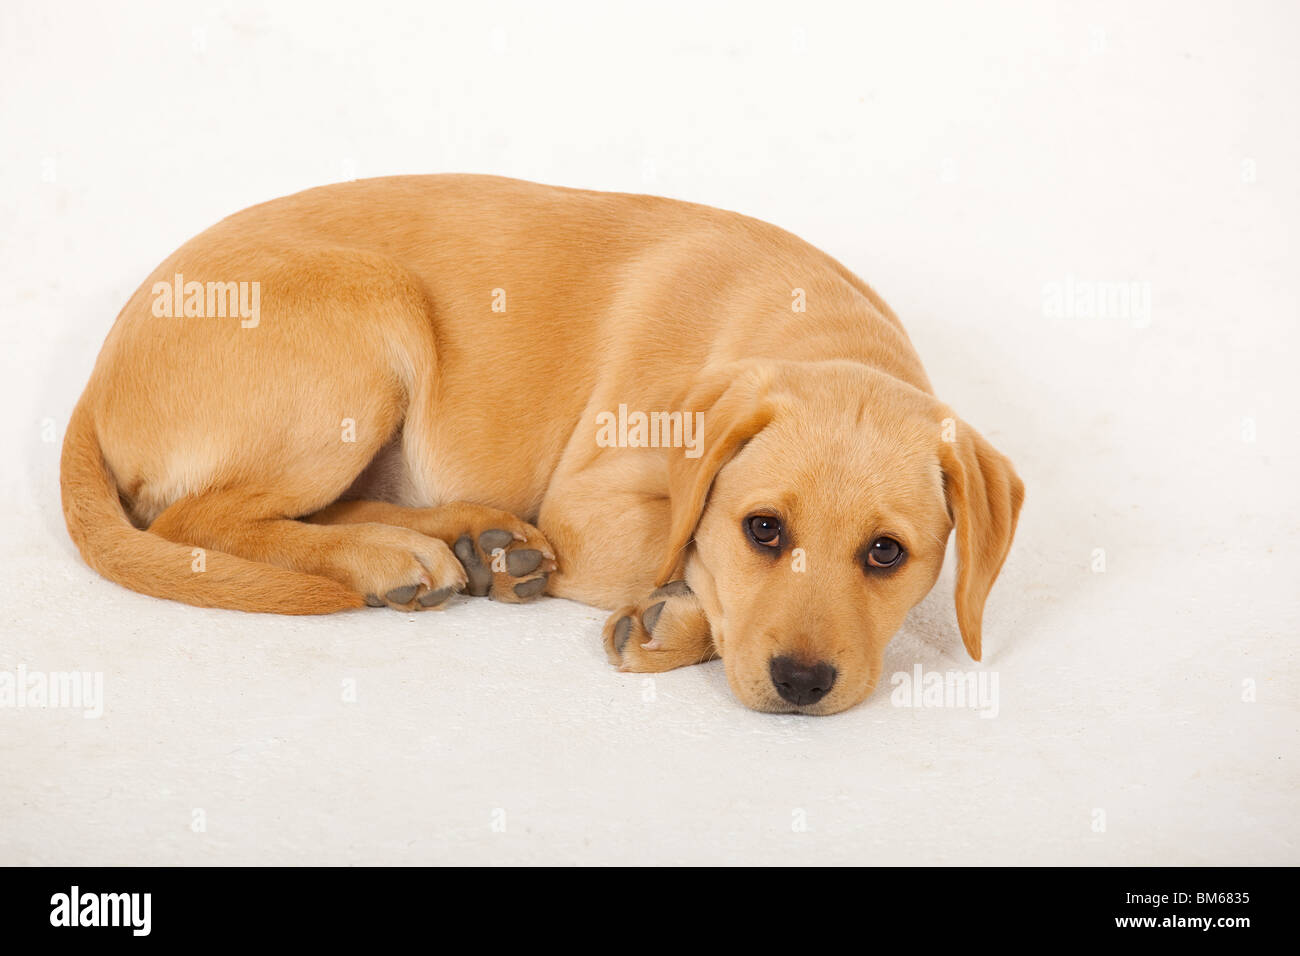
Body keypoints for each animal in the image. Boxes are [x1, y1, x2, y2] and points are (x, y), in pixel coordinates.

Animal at [61, 175, 1019, 712]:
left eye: (887, 554)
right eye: (763, 530)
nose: (803, 687)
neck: (810, 329)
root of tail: (96, 375)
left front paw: (673, 621)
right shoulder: (588, 508)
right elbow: (685, 551)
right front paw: (680, 618)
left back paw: (472, 539)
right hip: (372, 312)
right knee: (197, 520)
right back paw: (391, 556)